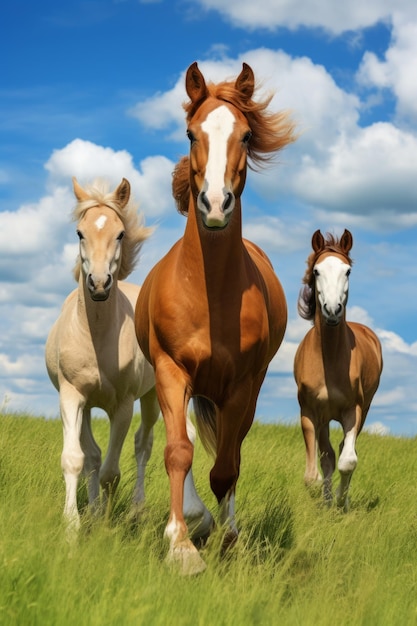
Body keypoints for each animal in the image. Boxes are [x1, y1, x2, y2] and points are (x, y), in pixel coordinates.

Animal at [45, 178, 159, 532]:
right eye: (79, 232)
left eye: (120, 233)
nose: (98, 284)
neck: (95, 335)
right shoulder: (71, 397)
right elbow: (77, 460)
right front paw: (74, 525)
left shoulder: (122, 406)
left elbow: (111, 472)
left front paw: (107, 527)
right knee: (93, 455)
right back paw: (94, 511)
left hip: (152, 398)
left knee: (143, 446)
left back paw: (137, 509)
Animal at [135, 62, 294, 572]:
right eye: (191, 133)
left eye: (246, 135)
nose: (216, 205)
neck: (207, 293)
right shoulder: (170, 371)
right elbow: (177, 451)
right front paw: (181, 544)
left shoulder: (242, 385)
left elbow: (226, 467)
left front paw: (226, 540)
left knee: (233, 450)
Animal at [292, 228, 380, 508]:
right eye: (317, 271)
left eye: (348, 271)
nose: (332, 310)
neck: (329, 360)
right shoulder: (310, 412)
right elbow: (315, 472)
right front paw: (326, 501)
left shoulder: (354, 410)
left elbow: (348, 461)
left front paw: (341, 501)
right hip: (323, 419)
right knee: (328, 455)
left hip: (365, 409)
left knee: (343, 451)